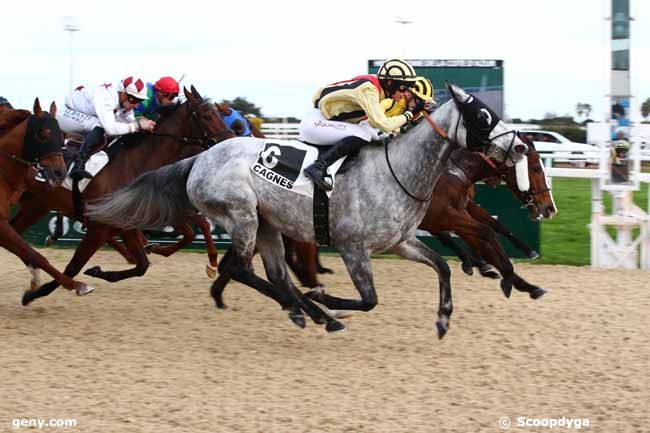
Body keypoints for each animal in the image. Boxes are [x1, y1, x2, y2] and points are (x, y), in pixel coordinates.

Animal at [0, 98, 95, 294]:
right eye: (42, 133)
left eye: (61, 136)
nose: (60, 173)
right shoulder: (0, 224)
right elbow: (35, 254)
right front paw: (77, 285)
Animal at [13, 86, 233, 304]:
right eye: (207, 116)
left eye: (219, 114)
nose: (230, 141)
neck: (133, 166)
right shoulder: (100, 228)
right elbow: (73, 267)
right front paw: (35, 294)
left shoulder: (128, 222)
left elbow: (144, 264)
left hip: (36, 205)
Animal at [87, 82, 532, 338]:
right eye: (483, 116)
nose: (520, 145)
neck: (399, 171)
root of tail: (199, 158)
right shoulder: (353, 247)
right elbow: (369, 300)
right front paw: (326, 297)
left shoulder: (401, 242)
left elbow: (442, 266)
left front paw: (443, 318)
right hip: (242, 215)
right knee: (242, 269)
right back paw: (316, 310)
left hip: (266, 224)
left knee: (271, 274)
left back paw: (306, 311)